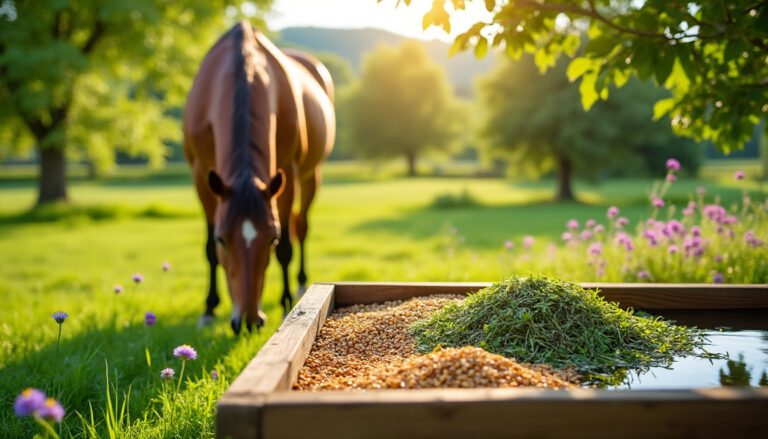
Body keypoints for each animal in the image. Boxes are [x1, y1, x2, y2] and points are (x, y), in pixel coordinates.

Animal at [183, 20, 335, 334]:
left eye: (271, 240)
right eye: (223, 240)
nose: (249, 321)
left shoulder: (287, 171)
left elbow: (287, 247)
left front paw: (286, 302)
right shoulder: (201, 174)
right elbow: (208, 249)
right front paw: (209, 309)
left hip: (309, 176)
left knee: (301, 226)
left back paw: (300, 284)